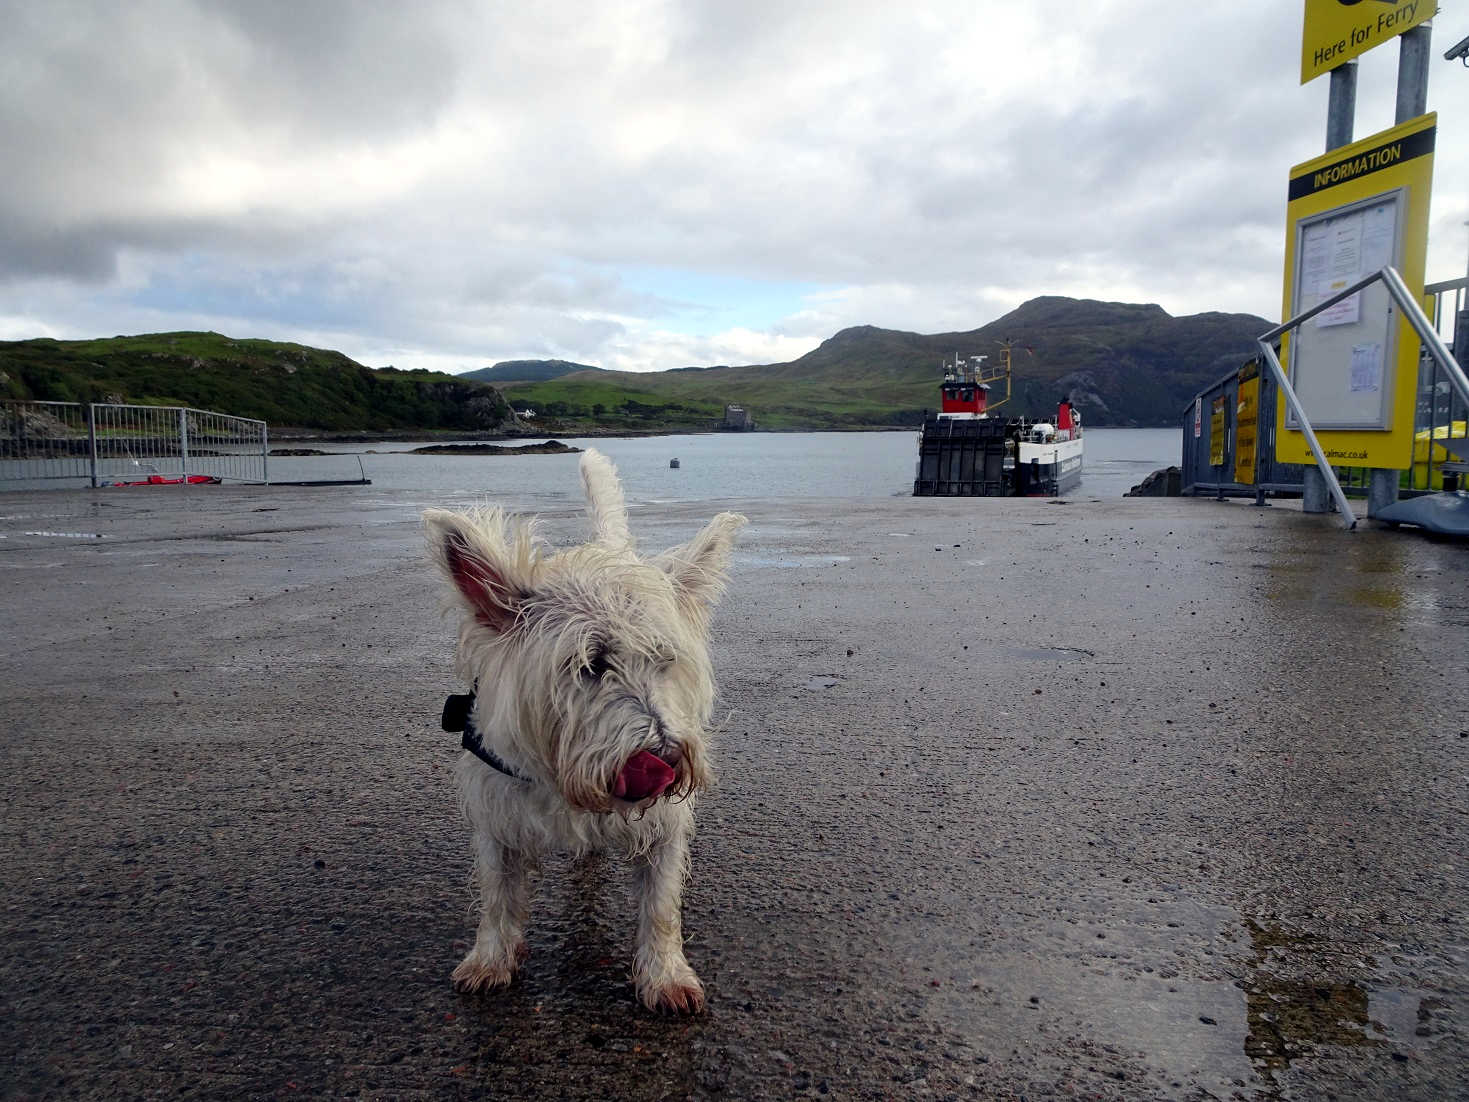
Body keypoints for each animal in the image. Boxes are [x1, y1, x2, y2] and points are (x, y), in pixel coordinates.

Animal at [426, 449, 746, 1016]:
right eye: (590, 665)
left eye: (664, 660)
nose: (666, 756)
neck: (561, 780)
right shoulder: (496, 816)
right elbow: (496, 895)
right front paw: (489, 961)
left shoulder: (664, 826)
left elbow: (660, 905)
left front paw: (665, 976)